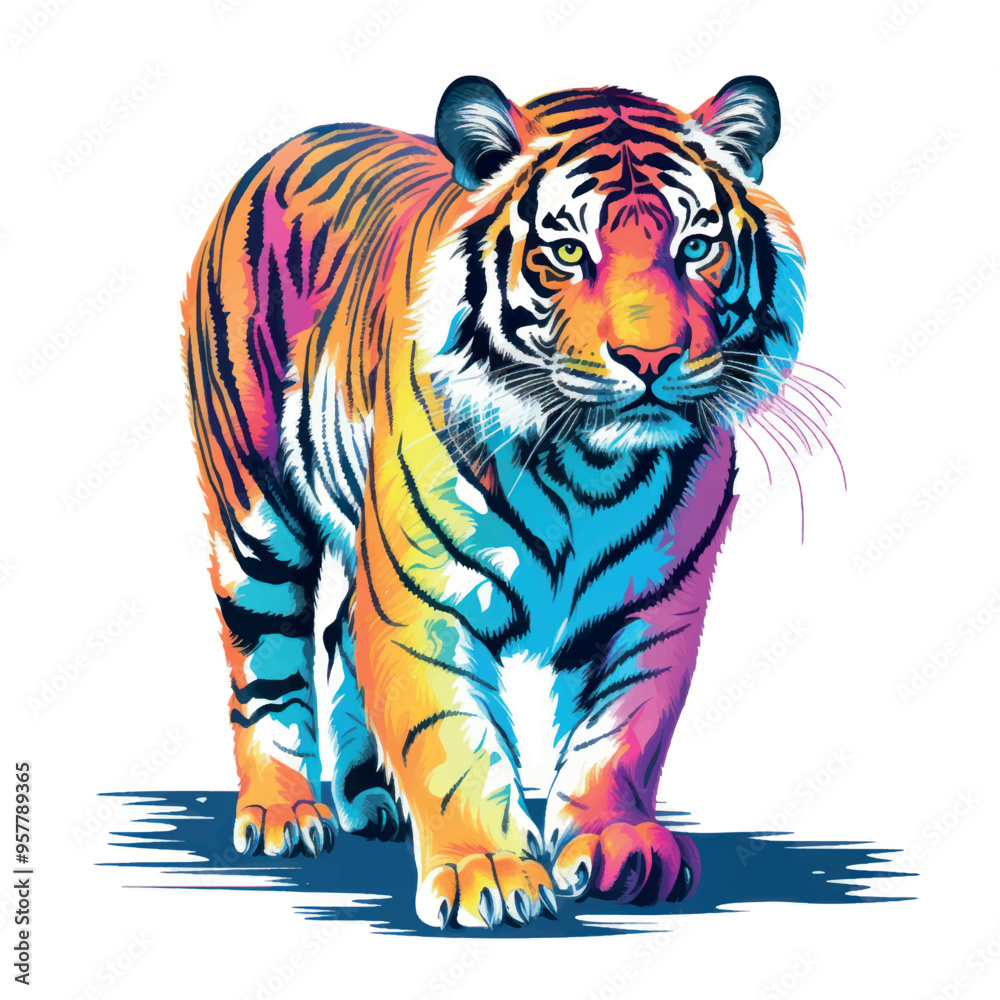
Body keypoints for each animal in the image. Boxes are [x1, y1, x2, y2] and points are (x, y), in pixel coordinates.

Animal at [181, 74, 805, 929]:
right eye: (569, 252)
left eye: (696, 247)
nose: (650, 359)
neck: (589, 467)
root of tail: (296, 139)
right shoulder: (422, 604)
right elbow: (450, 739)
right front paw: (493, 872)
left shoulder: (654, 611)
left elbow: (624, 733)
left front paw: (617, 846)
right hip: (254, 510)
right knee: (265, 659)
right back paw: (286, 813)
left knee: (338, 634)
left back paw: (368, 798)